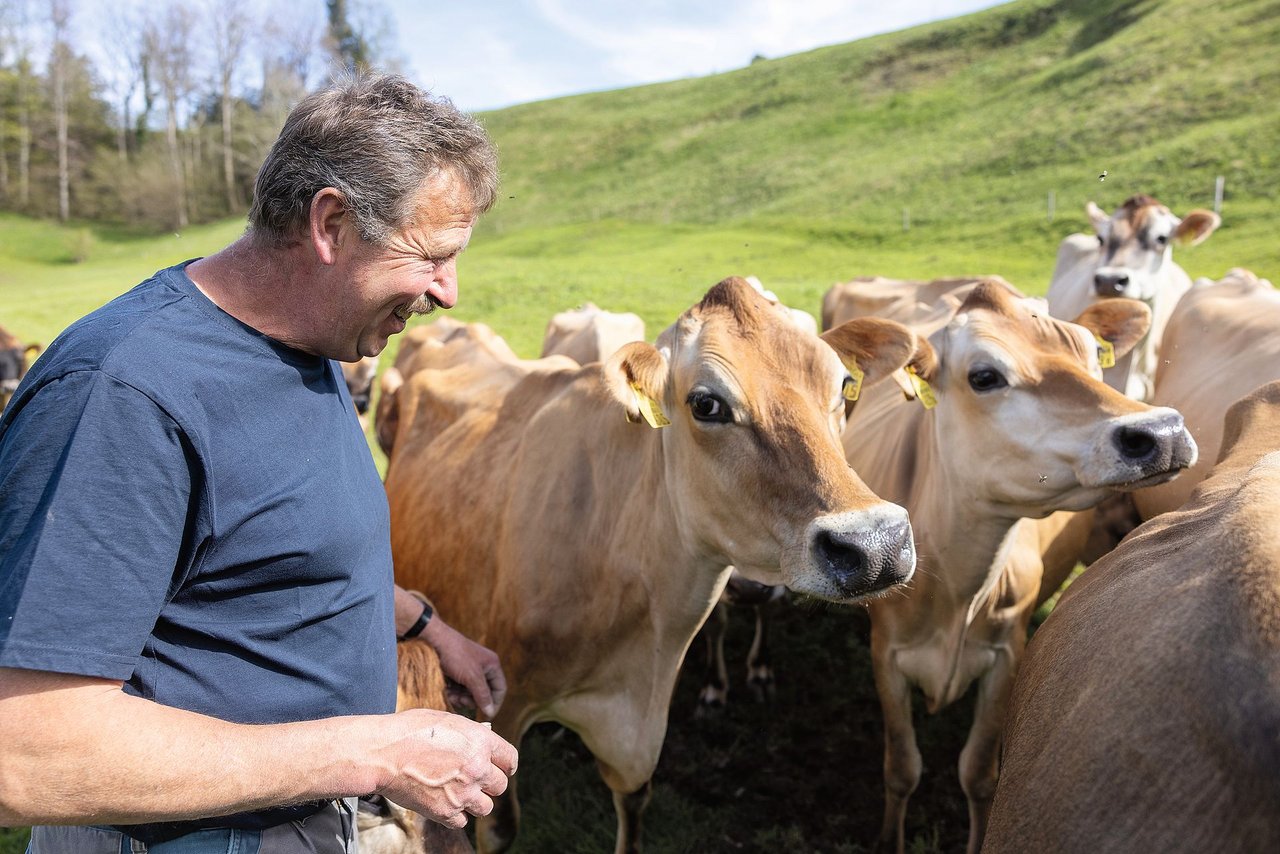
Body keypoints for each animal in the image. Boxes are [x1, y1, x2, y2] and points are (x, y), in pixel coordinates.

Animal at [384, 277, 926, 850]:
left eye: (843, 385)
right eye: (706, 403)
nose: (876, 544)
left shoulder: (639, 736)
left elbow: (634, 801)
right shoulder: (505, 700)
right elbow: (500, 823)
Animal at [839, 280, 1198, 854]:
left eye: (1092, 356)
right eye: (984, 376)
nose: (1160, 431)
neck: (958, 587)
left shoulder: (1007, 652)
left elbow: (979, 774)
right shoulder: (886, 655)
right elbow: (901, 768)